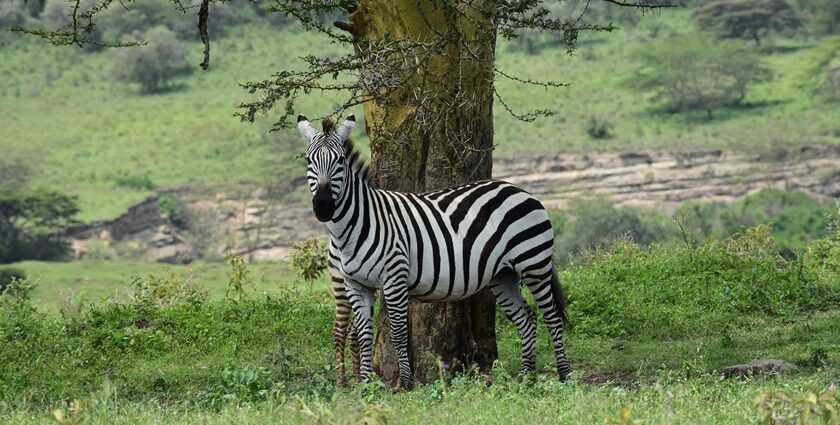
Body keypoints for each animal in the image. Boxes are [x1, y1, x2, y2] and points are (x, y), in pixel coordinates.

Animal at [298, 113, 576, 390]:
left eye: (340, 161)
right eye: (309, 161)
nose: (323, 206)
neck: (356, 226)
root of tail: (519, 189)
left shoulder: (394, 279)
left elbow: (399, 334)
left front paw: (405, 384)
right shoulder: (356, 284)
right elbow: (365, 335)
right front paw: (365, 384)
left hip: (533, 263)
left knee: (551, 317)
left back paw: (564, 374)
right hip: (504, 275)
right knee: (526, 319)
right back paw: (527, 376)